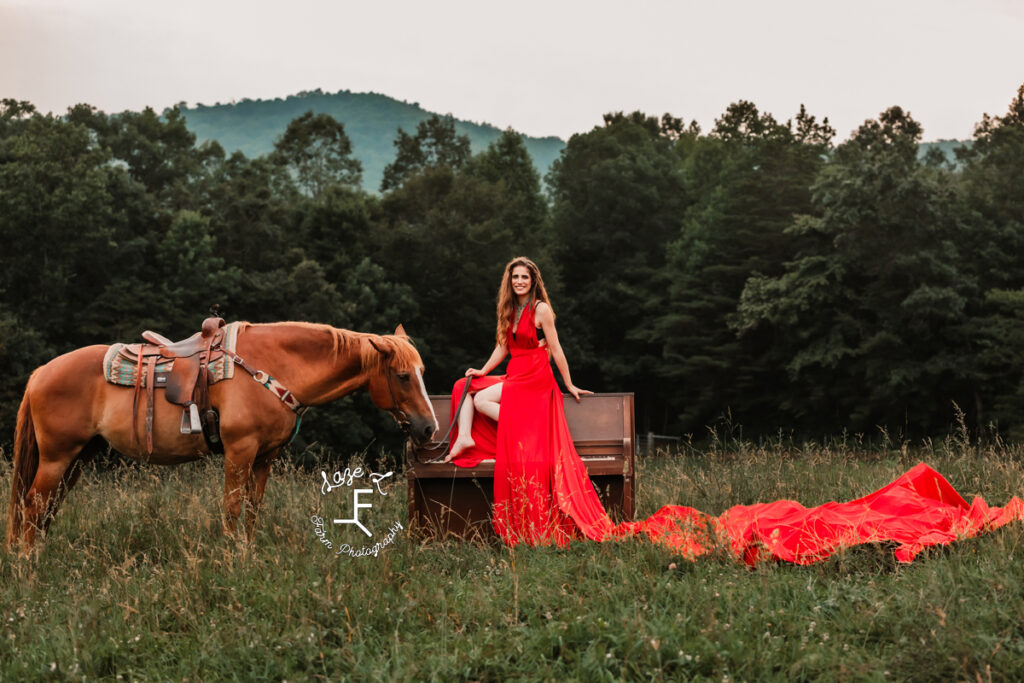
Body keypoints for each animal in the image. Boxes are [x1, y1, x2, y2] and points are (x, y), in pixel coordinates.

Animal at [4, 321, 436, 548]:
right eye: (402, 375)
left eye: (422, 372)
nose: (429, 427)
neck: (271, 368)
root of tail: (41, 373)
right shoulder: (239, 450)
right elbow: (231, 507)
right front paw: (231, 558)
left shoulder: (265, 456)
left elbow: (253, 508)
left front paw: (248, 551)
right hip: (58, 456)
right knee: (33, 505)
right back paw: (29, 567)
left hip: (79, 456)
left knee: (45, 508)